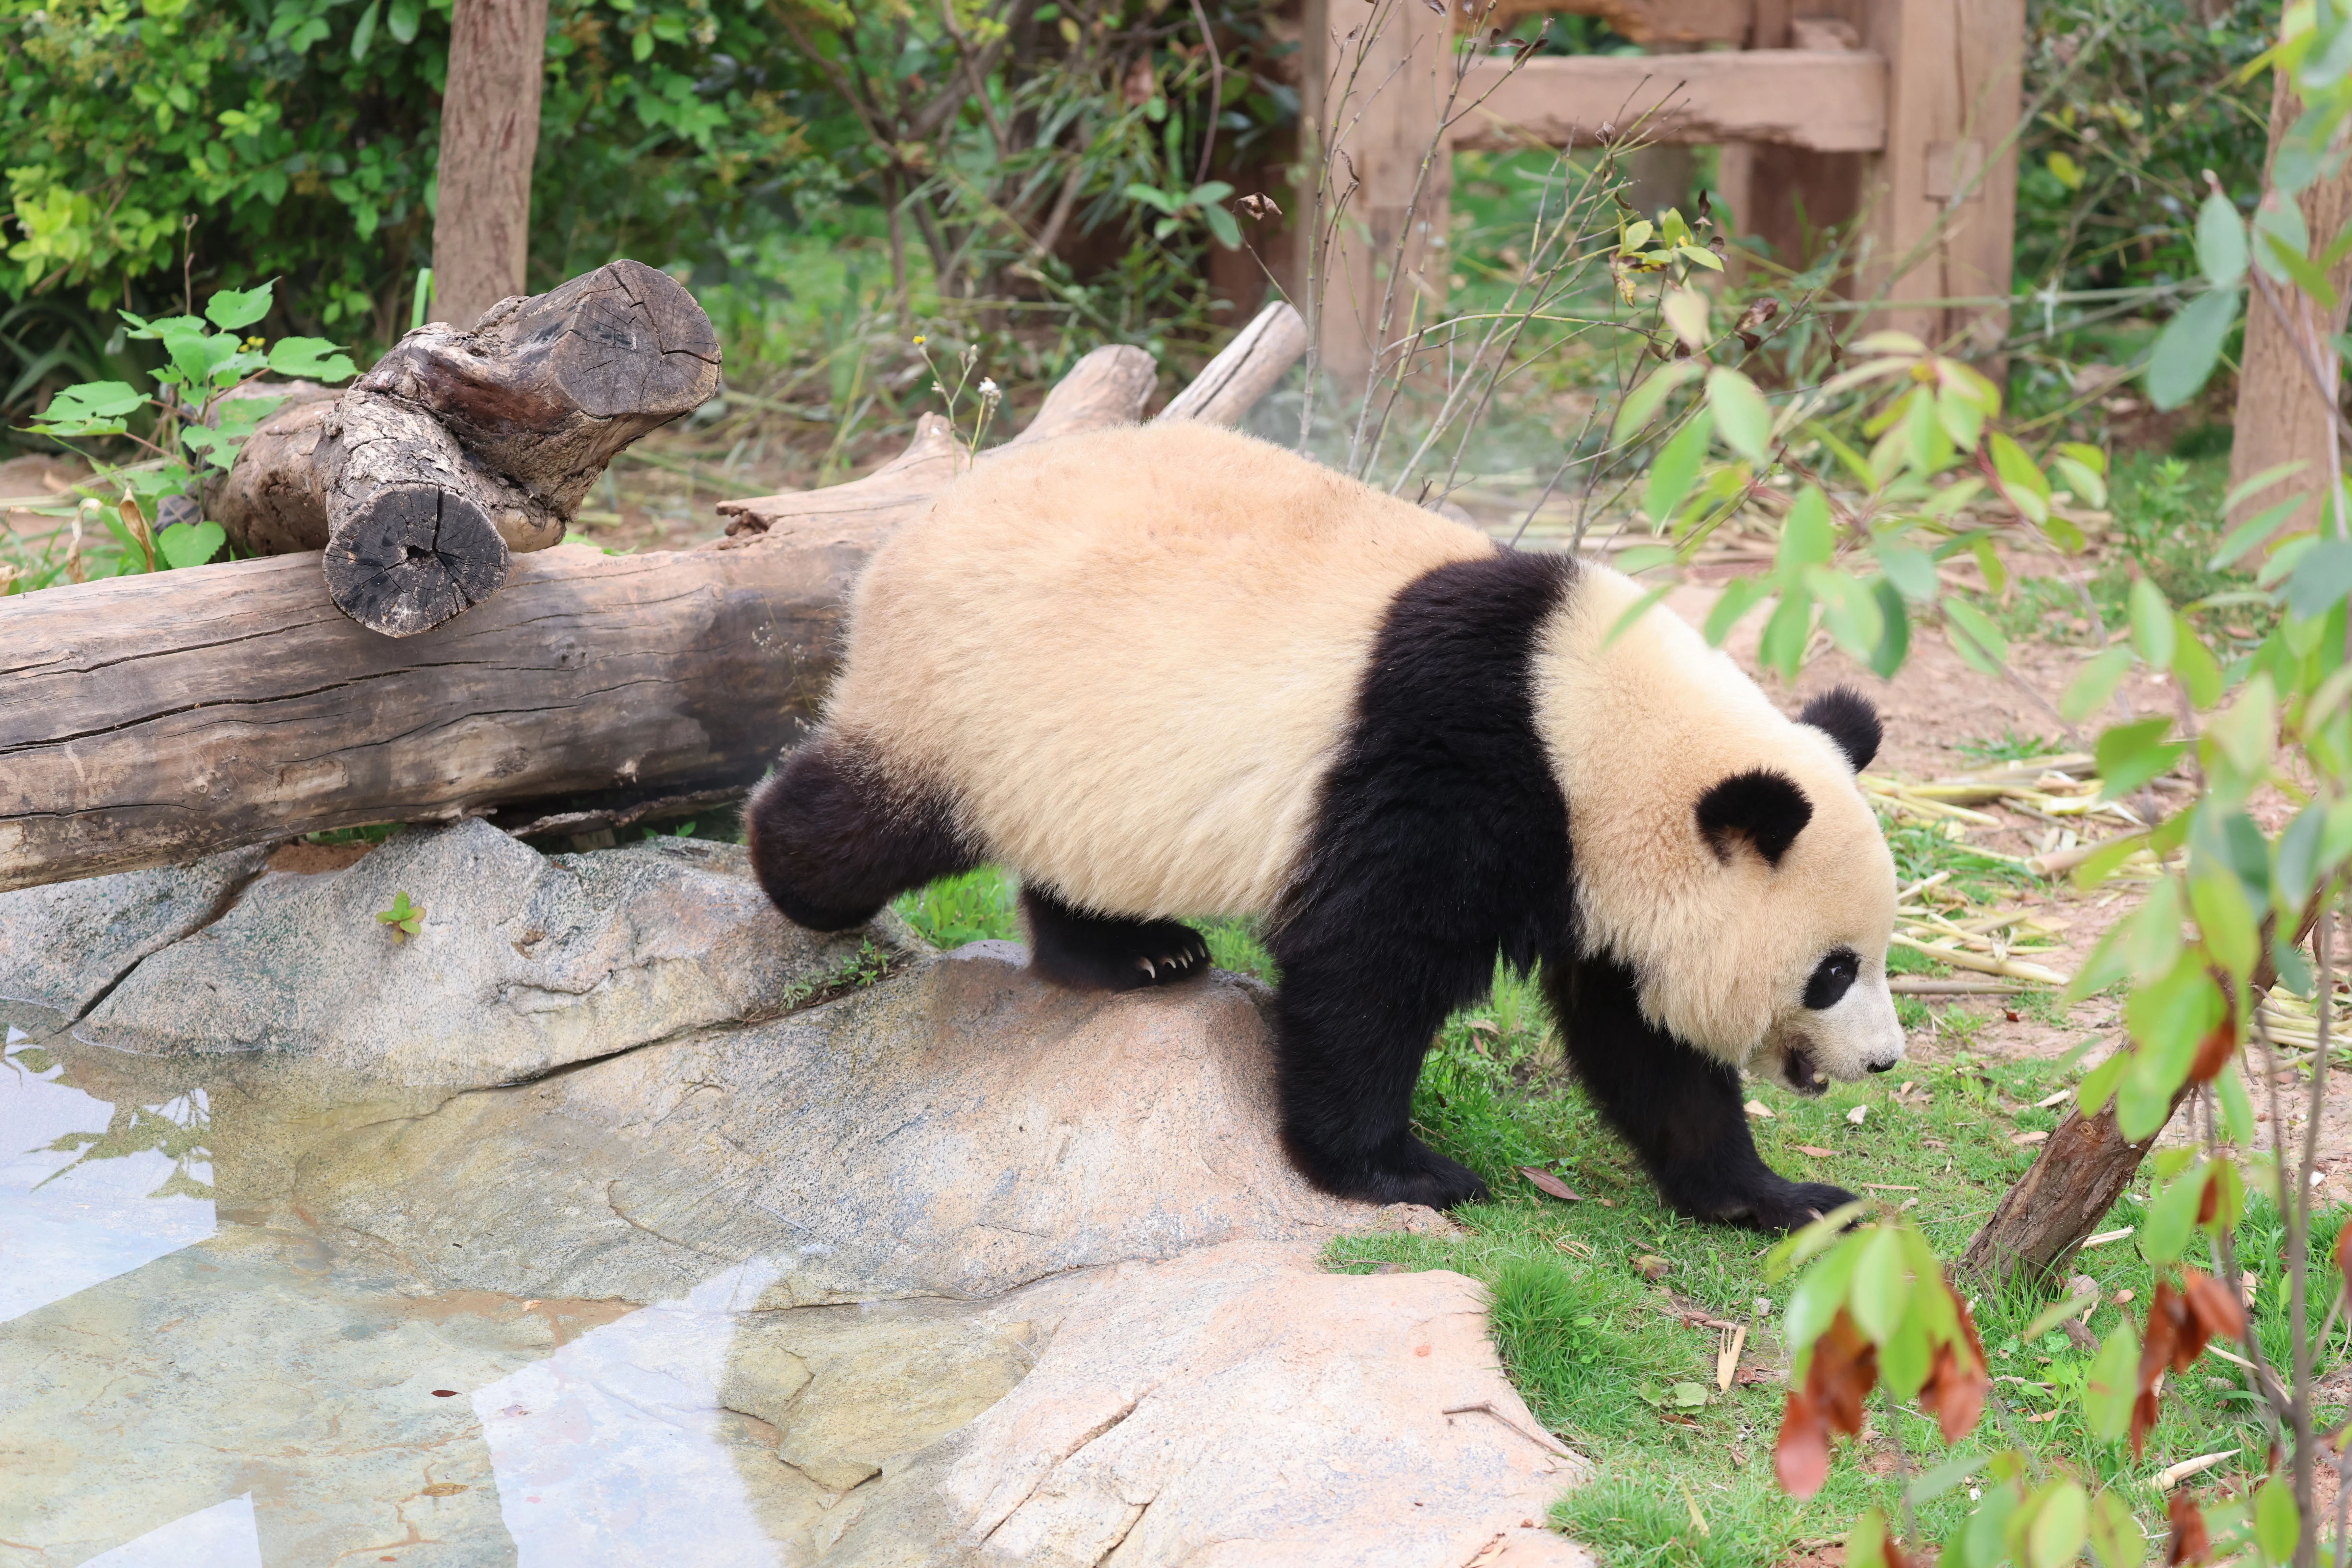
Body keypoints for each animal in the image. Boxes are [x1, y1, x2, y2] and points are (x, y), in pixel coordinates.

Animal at [745, 420, 1906, 1228]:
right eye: (1833, 971)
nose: (1886, 1063)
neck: (1591, 720)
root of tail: (912, 528)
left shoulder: (1598, 866)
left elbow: (1642, 1040)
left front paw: (1777, 1197)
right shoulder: (1459, 765)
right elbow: (1368, 966)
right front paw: (1395, 1170)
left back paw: (1136, 956)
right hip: (974, 692)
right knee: (869, 821)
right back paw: (789, 870)